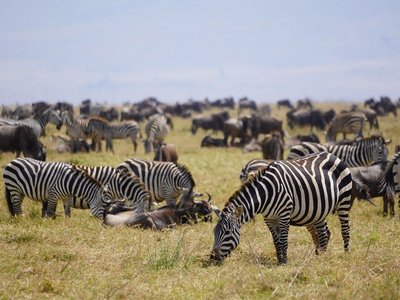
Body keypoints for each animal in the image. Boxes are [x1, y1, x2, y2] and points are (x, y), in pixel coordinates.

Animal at [209, 152, 354, 264]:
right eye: (214, 232)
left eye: (227, 232)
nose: (212, 257)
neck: (265, 194)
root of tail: (331, 154)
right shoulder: (269, 218)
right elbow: (276, 240)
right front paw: (279, 260)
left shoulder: (284, 215)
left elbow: (283, 240)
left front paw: (284, 262)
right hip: (318, 210)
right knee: (323, 233)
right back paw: (320, 256)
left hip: (344, 201)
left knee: (345, 229)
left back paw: (346, 254)